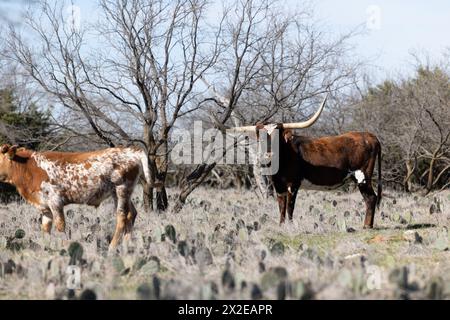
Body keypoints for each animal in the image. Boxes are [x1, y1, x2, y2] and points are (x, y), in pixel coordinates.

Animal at [0, 145, 151, 250]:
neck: (28, 167)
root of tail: (132, 151)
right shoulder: (45, 207)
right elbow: (46, 229)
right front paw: (46, 250)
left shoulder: (55, 202)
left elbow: (60, 226)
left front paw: (65, 247)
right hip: (122, 193)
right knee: (132, 213)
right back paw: (126, 245)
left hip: (122, 189)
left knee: (122, 216)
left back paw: (112, 247)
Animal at [230, 94, 382, 229]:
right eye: (260, 137)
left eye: (278, 137)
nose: (267, 155)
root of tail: (370, 136)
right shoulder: (278, 186)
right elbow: (281, 208)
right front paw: (281, 226)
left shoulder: (293, 185)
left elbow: (290, 208)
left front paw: (291, 226)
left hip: (362, 176)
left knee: (371, 198)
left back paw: (367, 226)